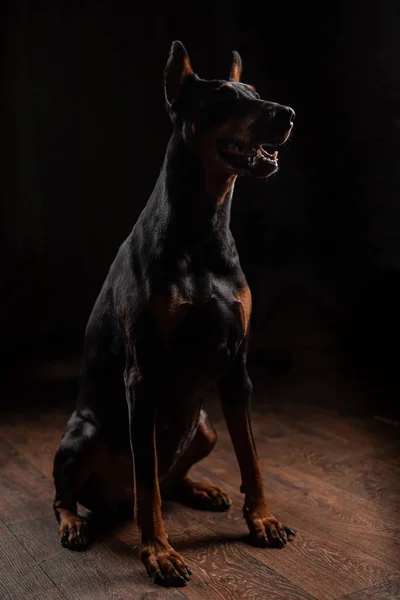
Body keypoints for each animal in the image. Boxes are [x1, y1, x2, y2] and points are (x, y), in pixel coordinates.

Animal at [52, 41, 296, 584]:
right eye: (223, 99)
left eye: (256, 93)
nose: (287, 114)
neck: (203, 229)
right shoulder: (142, 378)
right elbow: (148, 488)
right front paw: (158, 552)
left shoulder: (237, 369)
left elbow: (251, 457)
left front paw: (263, 519)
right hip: (84, 435)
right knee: (75, 493)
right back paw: (74, 524)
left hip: (202, 425)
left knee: (169, 475)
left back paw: (200, 489)